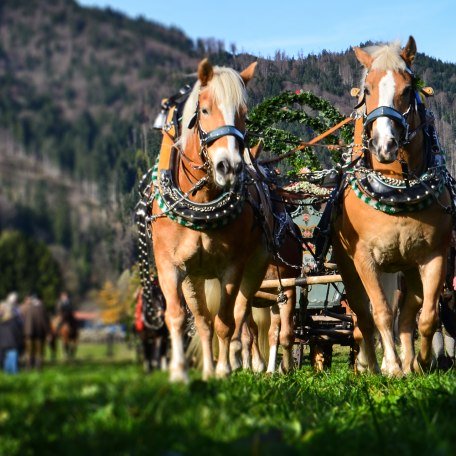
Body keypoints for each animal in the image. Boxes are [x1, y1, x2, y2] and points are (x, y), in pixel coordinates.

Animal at [152, 59, 274, 382]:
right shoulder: (169, 265)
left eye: (243, 114)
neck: (202, 201)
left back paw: (246, 362)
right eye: (204, 110)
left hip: (256, 268)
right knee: (203, 320)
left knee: (243, 317)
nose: (228, 166)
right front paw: (180, 372)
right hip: (194, 277)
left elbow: (226, 322)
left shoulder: (232, 267)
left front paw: (224, 370)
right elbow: (179, 317)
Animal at [332, 37, 452, 376]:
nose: (384, 145)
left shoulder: (434, 254)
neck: (397, 189)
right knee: (363, 314)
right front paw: (392, 367)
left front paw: (419, 362)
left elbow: (426, 315)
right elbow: (381, 313)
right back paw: (372, 364)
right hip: (349, 267)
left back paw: (406, 361)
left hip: (405, 267)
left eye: (408, 88)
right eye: (367, 89)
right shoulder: (363, 259)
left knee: (409, 311)